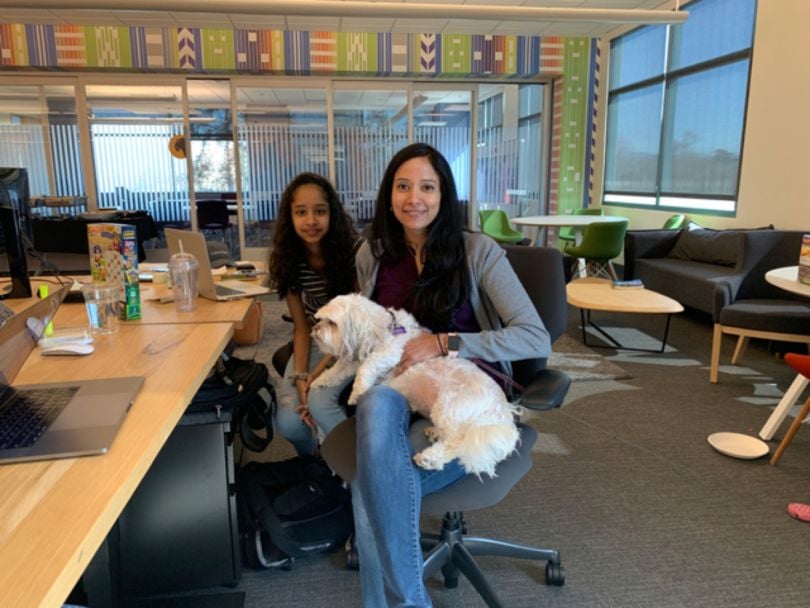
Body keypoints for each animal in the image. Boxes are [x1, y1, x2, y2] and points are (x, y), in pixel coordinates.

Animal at [310, 292, 516, 478]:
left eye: (332, 323)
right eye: (320, 319)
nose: (315, 328)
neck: (384, 329)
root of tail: (501, 412)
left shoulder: (392, 351)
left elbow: (368, 365)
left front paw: (357, 392)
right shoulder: (354, 359)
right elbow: (337, 370)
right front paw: (318, 381)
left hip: (450, 406)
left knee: (457, 443)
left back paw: (429, 458)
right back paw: (434, 434)